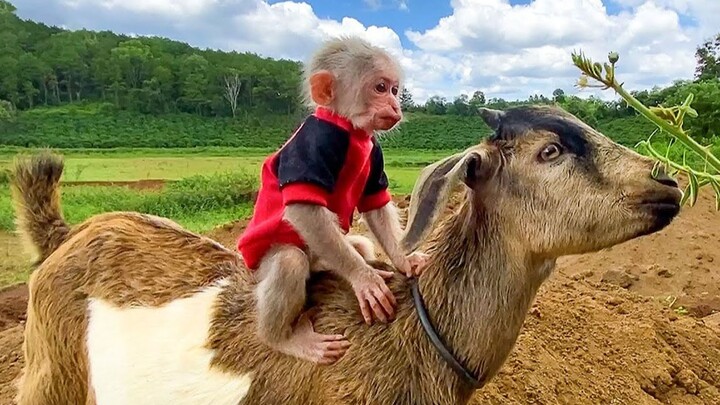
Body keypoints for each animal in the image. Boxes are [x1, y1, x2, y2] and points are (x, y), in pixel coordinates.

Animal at [236, 36, 429, 365]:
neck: (348, 129)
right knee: (289, 262)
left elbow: (375, 205)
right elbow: (305, 209)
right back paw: (282, 340)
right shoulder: (313, 141)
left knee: (359, 245)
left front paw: (403, 259)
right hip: (261, 264)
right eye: (380, 88)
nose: (395, 105)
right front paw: (364, 278)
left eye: (394, 89)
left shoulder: (373, 151)